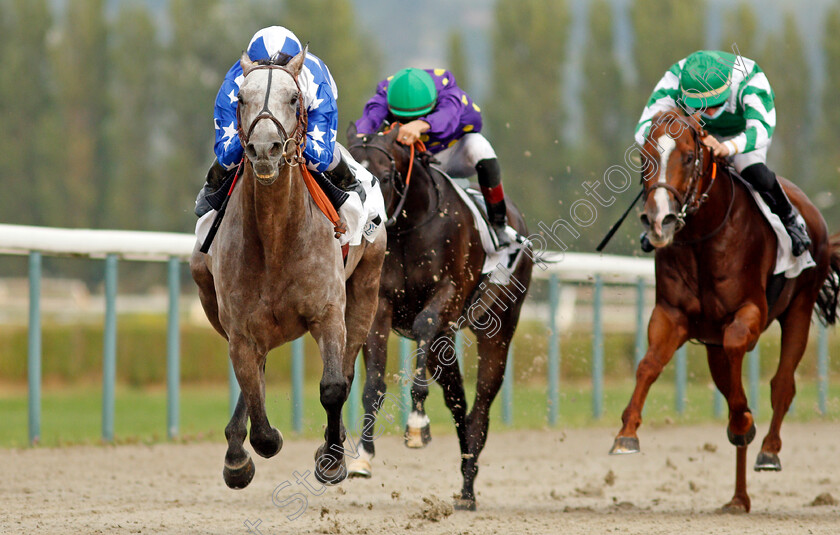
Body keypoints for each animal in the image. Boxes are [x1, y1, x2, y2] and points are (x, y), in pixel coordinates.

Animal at [190, 50, 388, 490]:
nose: (265, 148)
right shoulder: (241, 329)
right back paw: (236, 449)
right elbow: (256, 403)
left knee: (347, 367)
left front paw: (331, 459)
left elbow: (333, 386)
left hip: (366, 289)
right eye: (240, 99)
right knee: (255, 375)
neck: (276, 234)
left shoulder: (328, 312)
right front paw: (243, 456)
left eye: (294, 98)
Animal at [346, 122, 532, 510]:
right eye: (352, 176)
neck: (409, 225)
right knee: (458, 401)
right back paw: (466, 477)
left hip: (498, 329)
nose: (369, 224)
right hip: (443, 344)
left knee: (481, 406)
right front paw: (363, 455)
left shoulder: (447, 292)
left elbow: (423, 323)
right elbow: (373, 383)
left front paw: (417, 421)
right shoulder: (380, 304)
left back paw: (468, 484)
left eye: (385, 176)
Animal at [612, 110, 840, 516]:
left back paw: (768, 451)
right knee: (731, 384)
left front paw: (744, 422)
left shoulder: (749, 312)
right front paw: (627, 433)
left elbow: (739, 351)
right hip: (713, 347)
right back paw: (738, 497)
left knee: (783, 383)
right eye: (644, 157)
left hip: (799, 307)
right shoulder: (672, 315)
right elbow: (648, 365)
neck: (703, 238)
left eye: (689, 157)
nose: (659, 221)